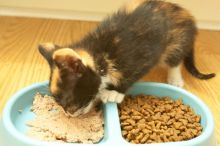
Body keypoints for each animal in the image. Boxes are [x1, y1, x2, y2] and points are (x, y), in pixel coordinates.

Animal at [38, 0, 215, 116]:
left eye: (67, 99)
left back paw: (175, 78)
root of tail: (187, 15)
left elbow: (131, 74)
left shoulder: (142, 55)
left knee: (175, 59)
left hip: (177, 39)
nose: (68, 113)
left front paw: (114, 92)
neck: (99, 57)